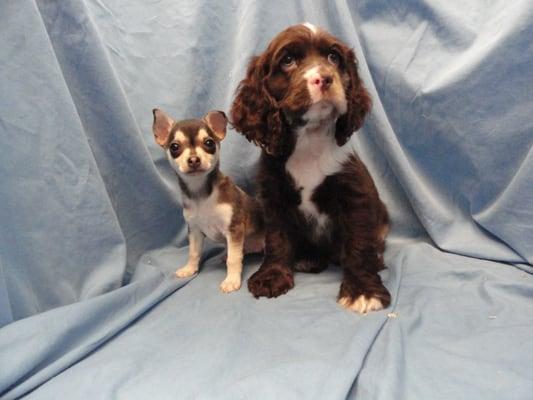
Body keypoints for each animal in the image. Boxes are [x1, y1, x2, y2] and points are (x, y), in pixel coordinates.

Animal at [152, 108, 264, 292]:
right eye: (175, 147)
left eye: (209, 143)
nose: (193, 160)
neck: (202, 195)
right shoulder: (195, 230)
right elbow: (194, 252)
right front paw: (190, 269)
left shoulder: (234, 229)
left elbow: (233, 259)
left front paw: (231, 280)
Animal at [229, 23, 386, 314]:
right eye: (288, 60)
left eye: (334, 57)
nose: (324, 78)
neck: (309, 140)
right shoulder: (274, 197)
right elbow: (277, 238)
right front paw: (272, 276)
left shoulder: (354, 195)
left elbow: (358, 243)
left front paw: (362, 291)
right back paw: (308, 259)